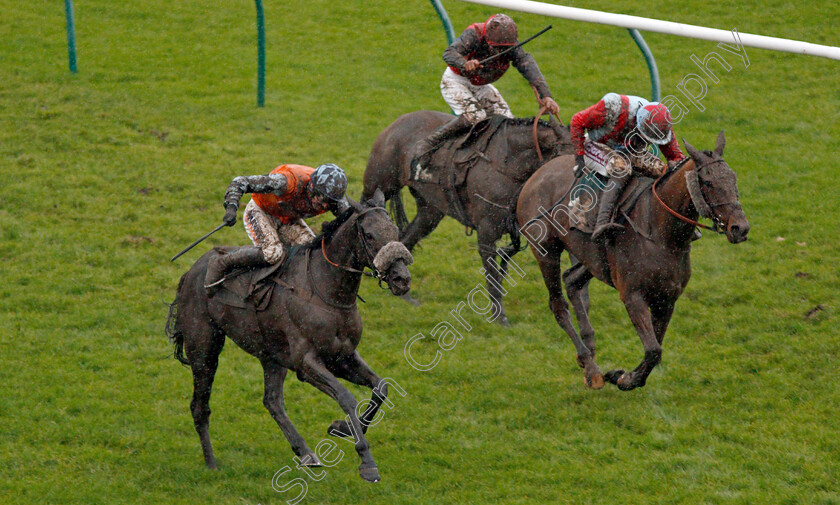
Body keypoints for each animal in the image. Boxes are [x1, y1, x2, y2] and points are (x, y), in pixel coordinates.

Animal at [165, 191, 414, 482]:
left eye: (395, 231)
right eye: (370, 235)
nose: (401, 279)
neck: (326, 290)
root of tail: (189, 273)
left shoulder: (341, 356)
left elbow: (380, 387)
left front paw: (342, 428)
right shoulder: (307, 363)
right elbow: (346, 397)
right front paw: (366, 461)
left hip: (271, 355)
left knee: (272, 401)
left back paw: (306, 453)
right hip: (204, 348)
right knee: (200, 405)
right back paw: (211, 463)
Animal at [360, 109, 572, 324]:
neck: (507, 163)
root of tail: (395, 124)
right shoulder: (486, 232)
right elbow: (492, 275)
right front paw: (500, 317)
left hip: (430, 212)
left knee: (407, 239)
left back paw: (405, 296)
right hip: (377, 186)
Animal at [520, 133, 748, 390]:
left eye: (733, 177)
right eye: (708, 182)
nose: (740, 228)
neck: (659, 232)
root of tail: (535, 177)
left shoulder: (667, 298)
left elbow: (656, 348)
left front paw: (623, 375)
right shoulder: (632, 295)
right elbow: (653, 350)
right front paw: (625, 379)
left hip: (591, 259)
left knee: (571, 281)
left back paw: (588, 350)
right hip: (546, 252)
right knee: (558, 306)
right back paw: (591, 367)